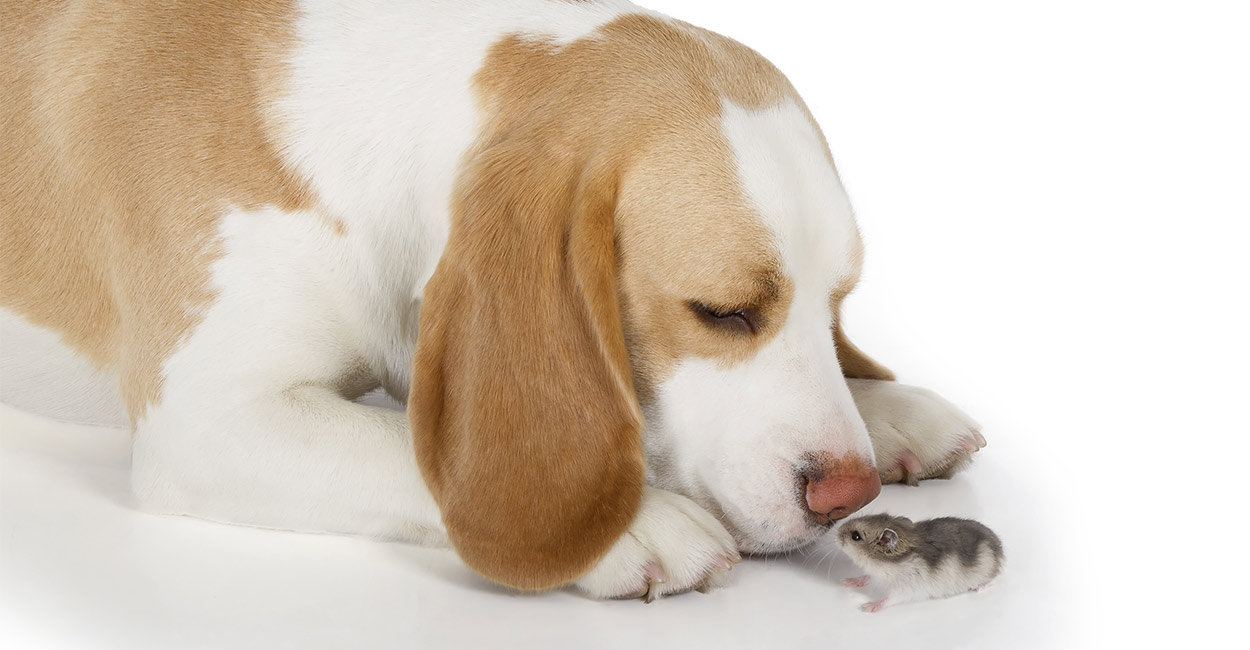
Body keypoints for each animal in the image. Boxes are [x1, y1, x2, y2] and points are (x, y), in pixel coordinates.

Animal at [0, 0, 985, 600]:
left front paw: (887, 407)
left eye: (836, 303)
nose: (849, 494)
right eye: (723, 312)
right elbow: (410, 449)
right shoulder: (208, 421)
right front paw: (632, 522)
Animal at [835, 512, 1000, 610]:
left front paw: (868, 607)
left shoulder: (907, 586)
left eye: (856, 536)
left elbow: (889, 598)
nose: (837, 532)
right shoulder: (876, 574)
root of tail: (1001, 550)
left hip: (987, 571)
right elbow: (866, 576)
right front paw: (846, 582)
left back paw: (977, 588)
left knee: (994, 579)